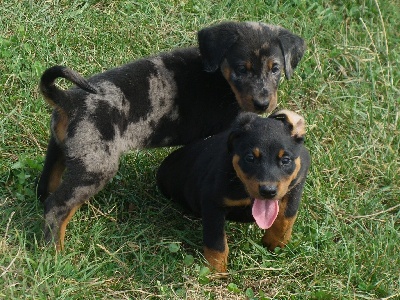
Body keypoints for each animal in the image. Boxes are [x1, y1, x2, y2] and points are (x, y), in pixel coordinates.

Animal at [38, 21, 306, 250]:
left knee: (46, 190)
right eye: (242, 69)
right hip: (95, 168)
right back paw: (56, 252)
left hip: (58, 151)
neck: (221, 78)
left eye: (275, 69)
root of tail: (67, 99)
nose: (263, 104)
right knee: (56, 207)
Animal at [155, 110, 310, 272]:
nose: (268, 191)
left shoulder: (298, 181)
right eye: (250, 158)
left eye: (285, 160)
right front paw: (216, 271)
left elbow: (286, 216)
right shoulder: (212, 203)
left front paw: (275, 243)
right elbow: (216, 243)